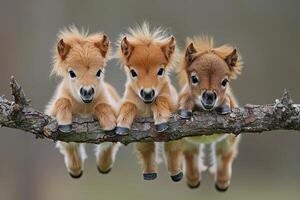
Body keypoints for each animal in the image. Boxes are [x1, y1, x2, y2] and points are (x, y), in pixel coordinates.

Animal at [44, 26, 119, 178]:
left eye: (99, 72)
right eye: (71, 73)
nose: (87, 91)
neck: (84, 107)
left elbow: (102, 106)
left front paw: (108, 123)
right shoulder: (51, 112)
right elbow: (62, 102)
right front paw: (64, 123)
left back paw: (103, 167)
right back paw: (76, 170)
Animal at [115, 23, 182, 181]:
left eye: (161, 70)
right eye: (133, 72)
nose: (147, 93)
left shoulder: (171, 103)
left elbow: (162, 100)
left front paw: (161, 121)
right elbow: (129, 105)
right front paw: (122, 126)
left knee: (173, 148)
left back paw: (177, 175)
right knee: (147, 149)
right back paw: (150, 174)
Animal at [178, 36, 241, 191]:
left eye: (225, 81)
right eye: (194, 78)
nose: (209, 96)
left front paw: (225, 105)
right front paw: (185, 108)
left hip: (228, 141)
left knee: (225, 154)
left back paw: (222, 182)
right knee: (190, 154)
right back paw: (193, 180)